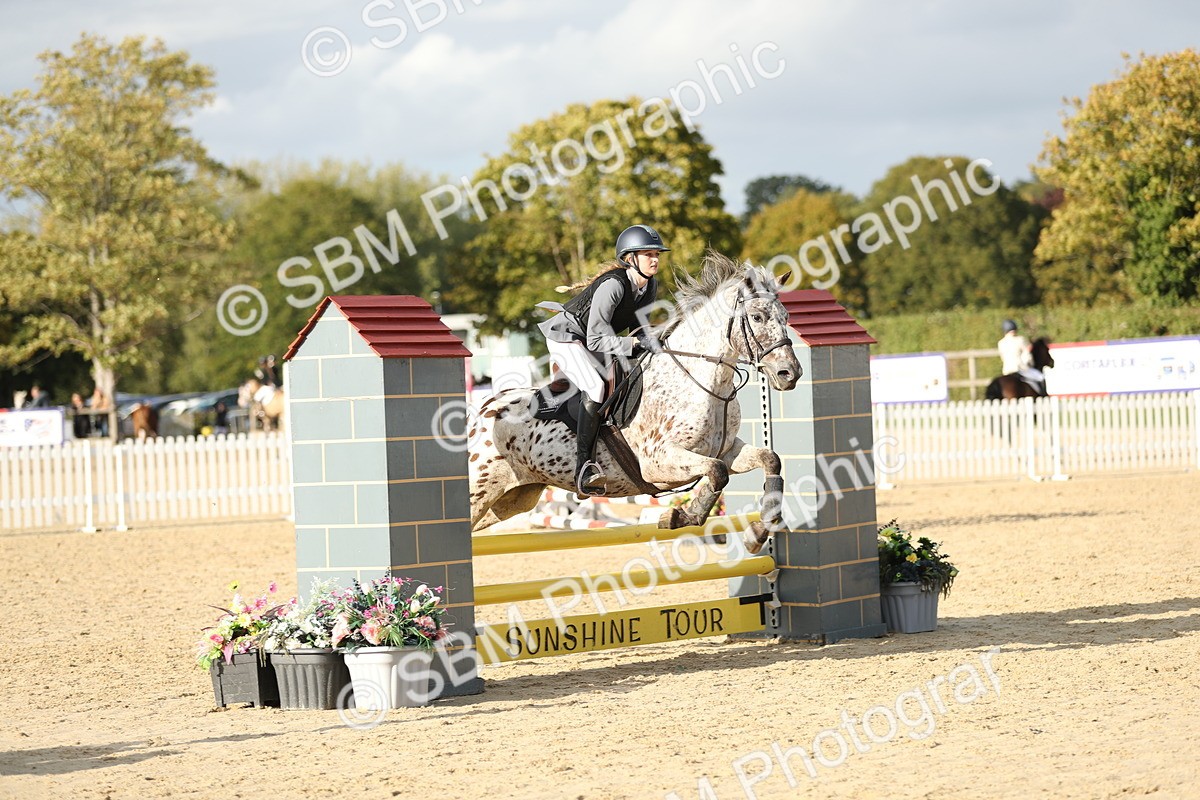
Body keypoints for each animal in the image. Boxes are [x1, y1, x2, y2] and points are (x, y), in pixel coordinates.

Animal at [468, 253, 803, 555]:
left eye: (786, 318)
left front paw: (759, 532)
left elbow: (770, 459)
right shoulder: (657, 463)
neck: (701, 380)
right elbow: (717, 473)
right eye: (757, 317)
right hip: (477, 495)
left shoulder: (727, 450)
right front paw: (681, 515)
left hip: (508, 500)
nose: (790, 374)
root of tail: (478, 415)